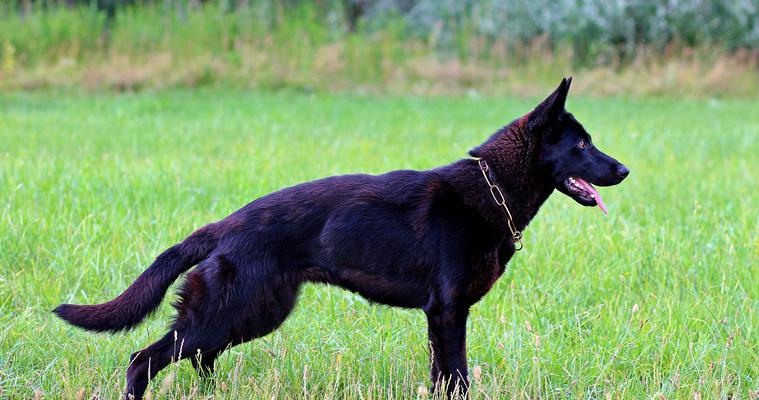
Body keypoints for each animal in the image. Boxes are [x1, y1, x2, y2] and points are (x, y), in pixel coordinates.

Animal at [55, 76, 628, 398]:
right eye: (581, 145)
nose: (624, 170)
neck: (492, 190)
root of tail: (224, 226)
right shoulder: (448, 313)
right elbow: (458, 376)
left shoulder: (442, 317)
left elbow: (446, 376)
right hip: (228, 312)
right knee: (144, 360)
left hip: (251, 313)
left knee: (198, 358)